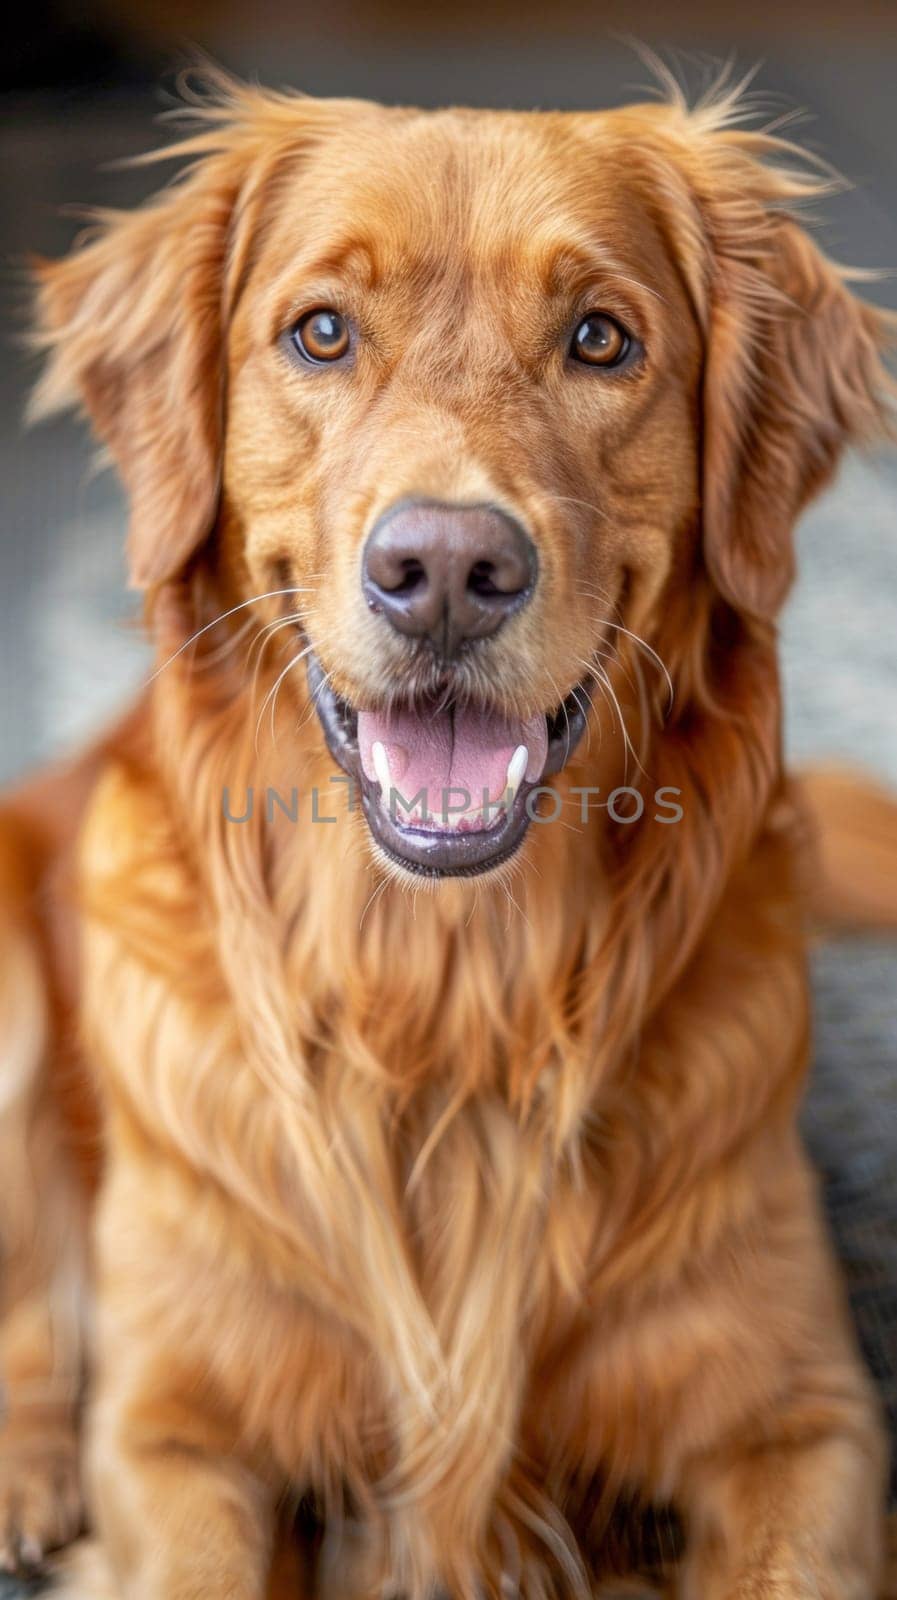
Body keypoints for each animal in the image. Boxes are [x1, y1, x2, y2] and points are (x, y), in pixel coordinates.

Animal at [1, 65, 895, 1600]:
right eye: (320, 330)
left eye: (601, 338)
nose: (447, 571)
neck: (445, 993)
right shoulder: (172, 1427)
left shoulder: (808, 1423)